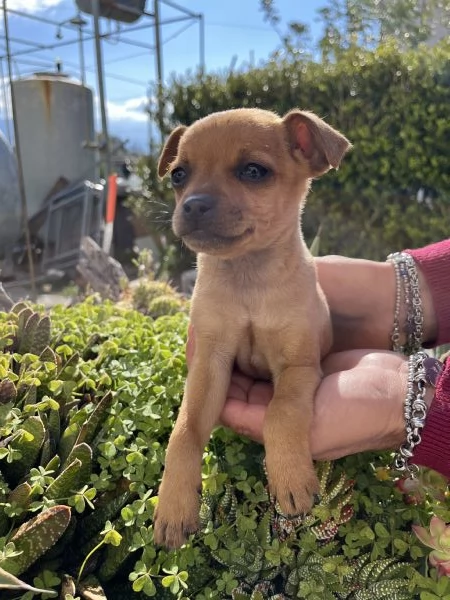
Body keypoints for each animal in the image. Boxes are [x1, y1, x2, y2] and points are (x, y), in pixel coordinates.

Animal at [155, 108, 352, 548]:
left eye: (253, 171)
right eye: (178, 175)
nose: (192, 205)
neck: (247, 278)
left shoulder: (298, 367)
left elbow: (280, 411)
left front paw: (290, 477)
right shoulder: (209, 364)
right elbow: (185, 430)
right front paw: (174, 503)